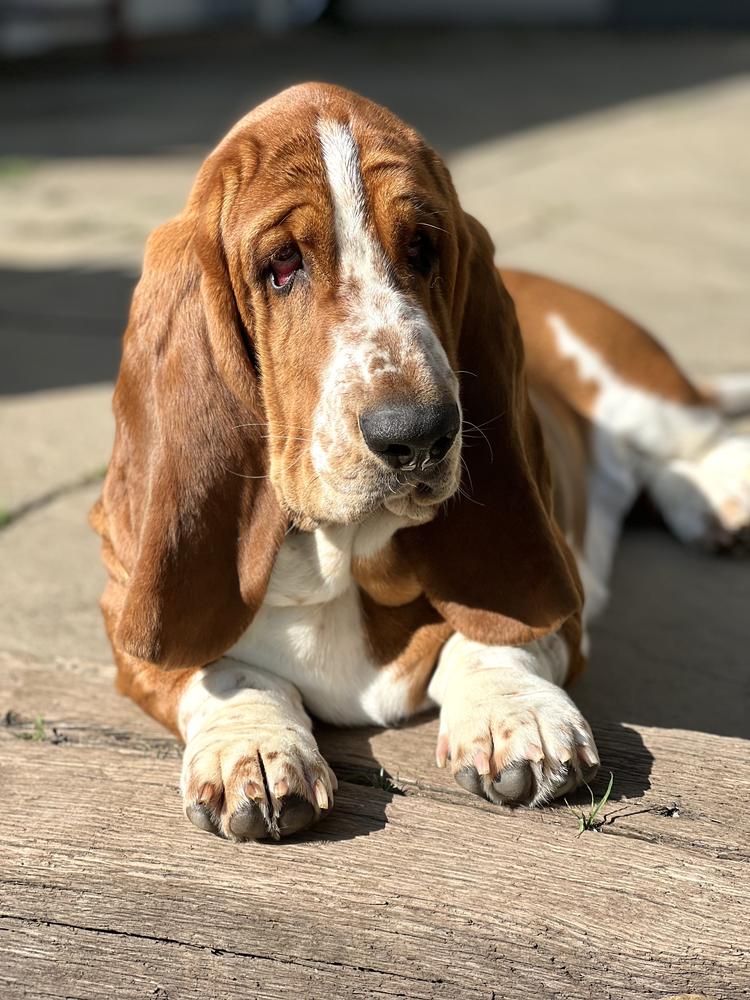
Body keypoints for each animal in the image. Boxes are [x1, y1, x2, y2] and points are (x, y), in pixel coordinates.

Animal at [92, 82, 750, 840]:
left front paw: (517, 716)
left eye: (423, 247)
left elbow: (491, 635)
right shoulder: (126, 611)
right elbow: (222, 671)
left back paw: (727, 503)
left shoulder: (561, 598)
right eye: (281, 265)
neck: (342, 553)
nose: (419, 433)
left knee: (700, 440)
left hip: (635, 386)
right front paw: (251, 749)